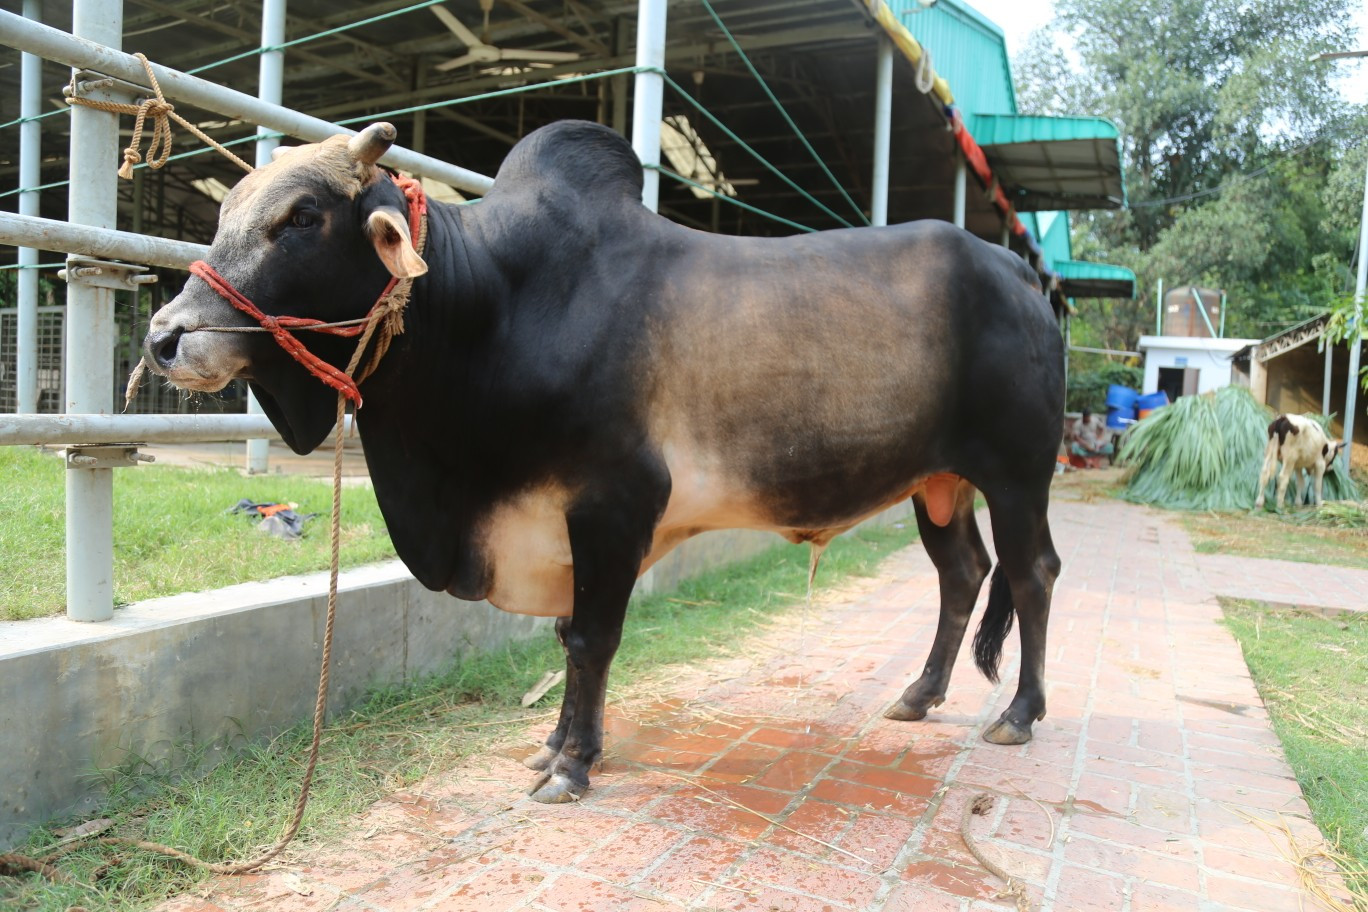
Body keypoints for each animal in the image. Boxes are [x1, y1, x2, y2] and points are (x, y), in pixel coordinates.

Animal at [142, 120, 1064, 804]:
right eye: (224, 217)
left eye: (301, 217)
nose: (165, 337)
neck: (491, 306)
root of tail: (1017, 272)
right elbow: (566, 637)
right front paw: (553, 745)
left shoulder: (614, 502)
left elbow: (590, 638)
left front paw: (573, 764)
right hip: (937, 483)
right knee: (962, 572)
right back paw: (919, 696)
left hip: (1018, 476)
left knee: (1032, 574)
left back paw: (1019, 713)